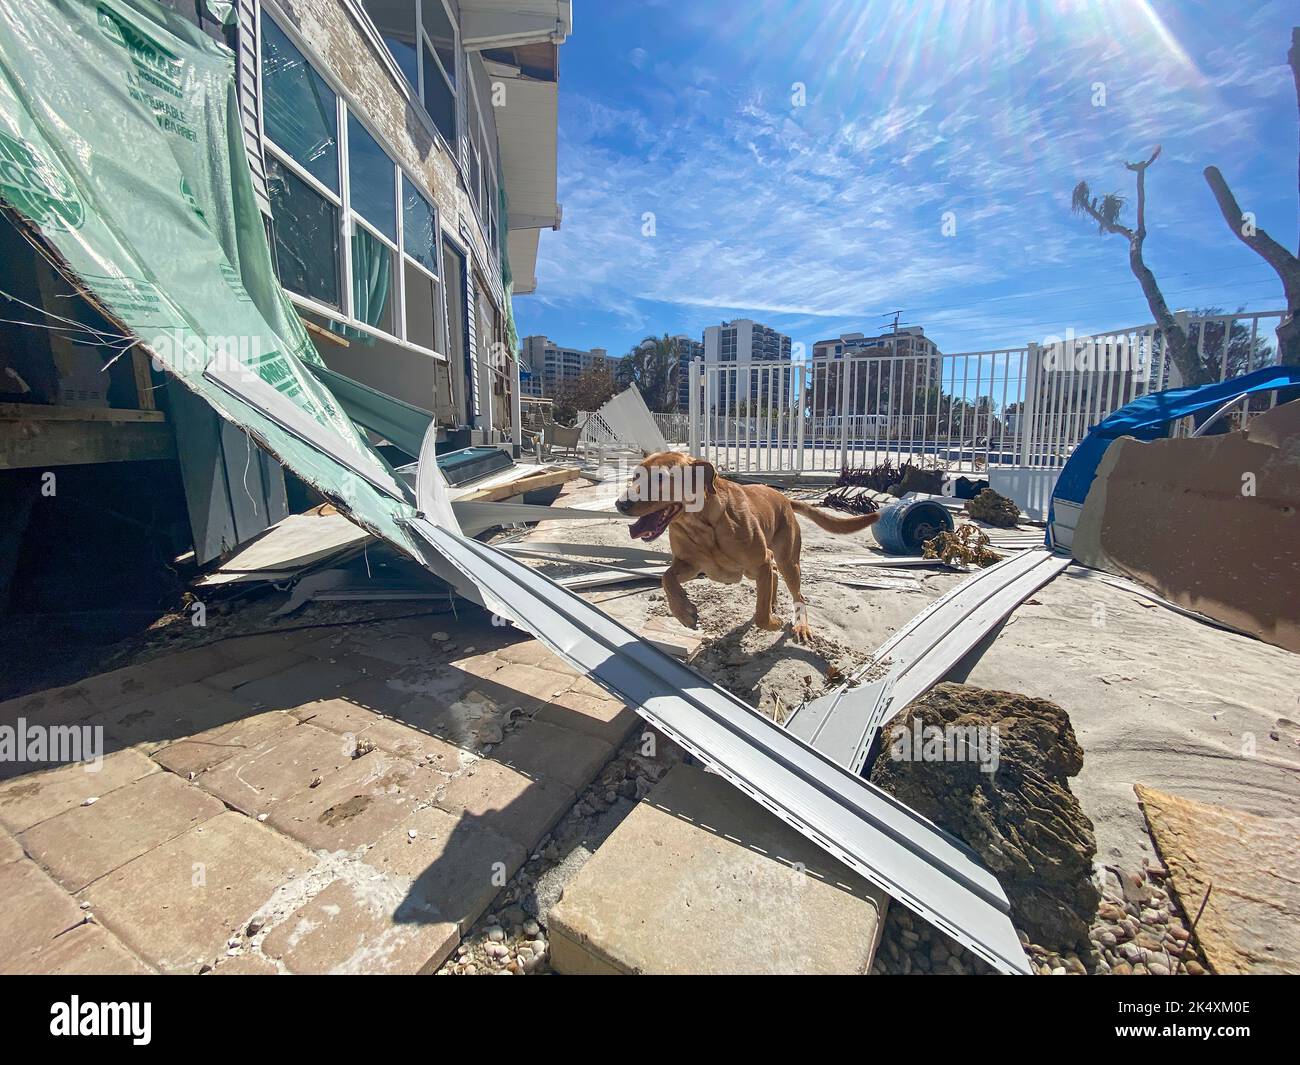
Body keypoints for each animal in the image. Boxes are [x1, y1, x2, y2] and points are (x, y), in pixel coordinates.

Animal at [611, 449, 878, 642]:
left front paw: (773, 622)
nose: (620, 504)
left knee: (796, 592)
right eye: (635, 476)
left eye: (661, 478)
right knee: (774, 575)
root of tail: (785, 498)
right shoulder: (691, 565)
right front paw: (684, 612)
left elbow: (760, 616)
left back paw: (800, 625)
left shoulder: (759, 563)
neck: (703, 524)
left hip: (787, 562)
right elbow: (667, 577)